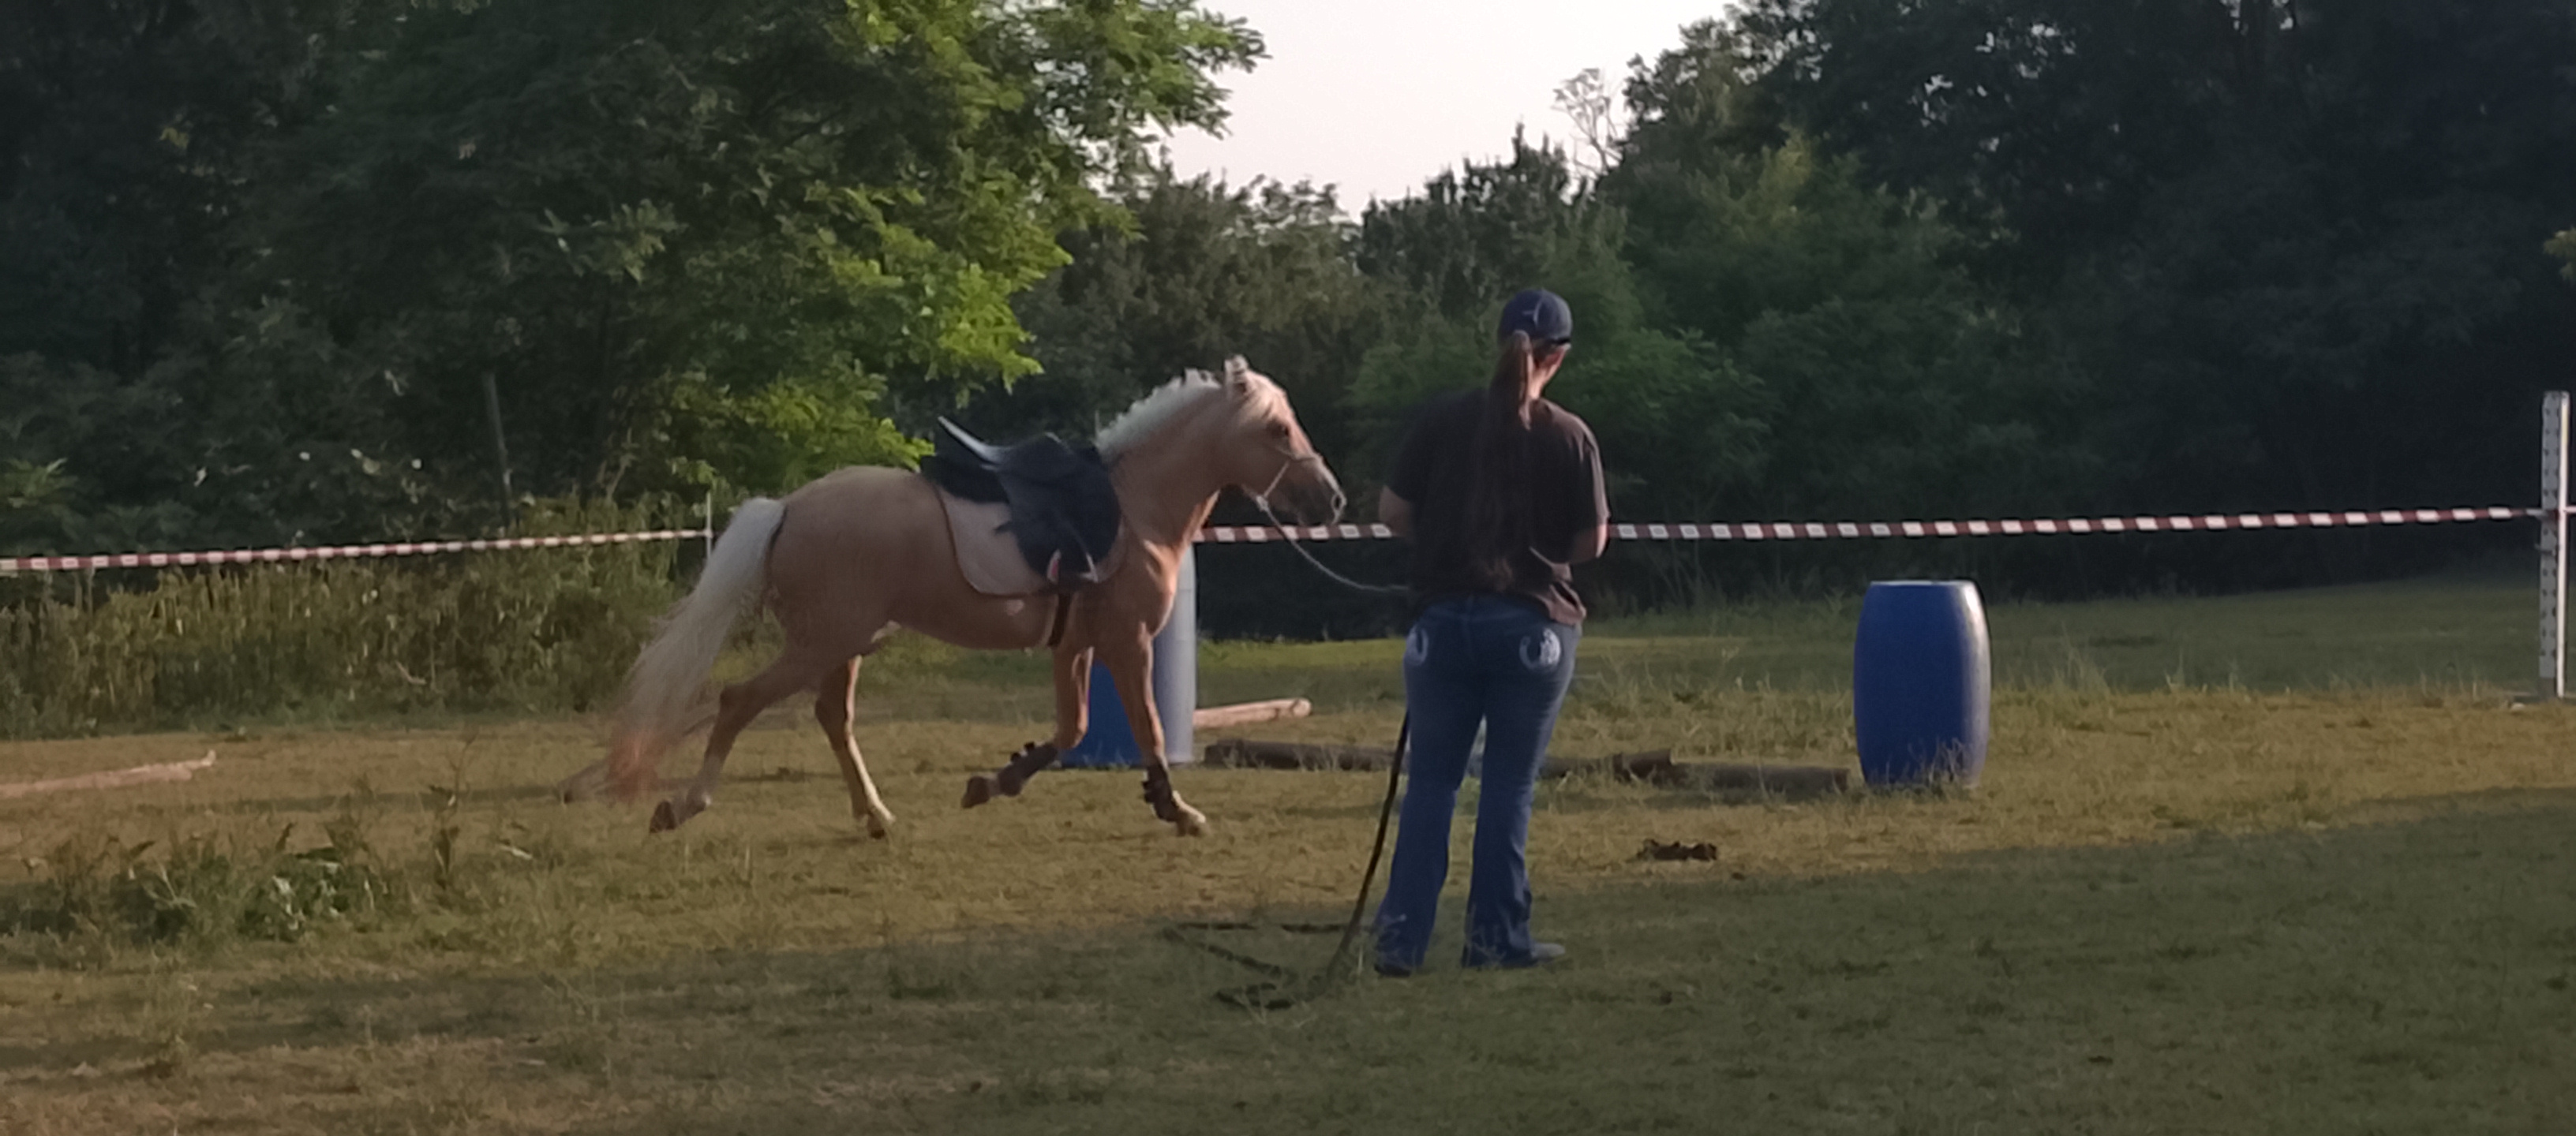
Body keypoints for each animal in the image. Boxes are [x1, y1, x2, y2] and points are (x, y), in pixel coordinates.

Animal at [556, 357, 1347, 837]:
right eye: (1277, 429)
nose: (1331, 499)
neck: (1133, 507)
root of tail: (788, 508)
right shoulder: (1127, 644)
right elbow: (1147, 732)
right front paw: (1177, 810)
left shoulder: (1075, 648)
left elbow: (1071, 731)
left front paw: (995, 782)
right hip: (820, 644)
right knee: (738, 701)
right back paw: (687, 804)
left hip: (845, 646)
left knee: (832, 719)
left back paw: (875, 816)